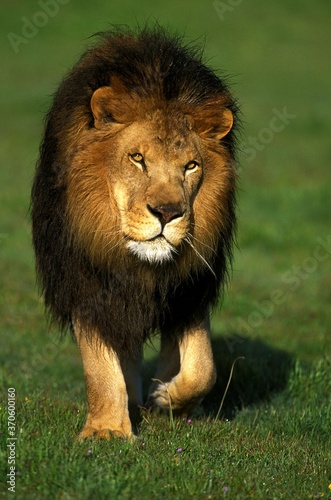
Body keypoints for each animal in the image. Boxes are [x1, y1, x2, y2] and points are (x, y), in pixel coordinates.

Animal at [31, 26, 239, 438]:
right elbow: (100, 365)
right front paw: (108, 431)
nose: (168, 213)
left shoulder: (191, 287)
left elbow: (203, 368)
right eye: (137, 158)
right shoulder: (88, 284)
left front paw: (169, 400)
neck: (141, 266)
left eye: (191, 166)